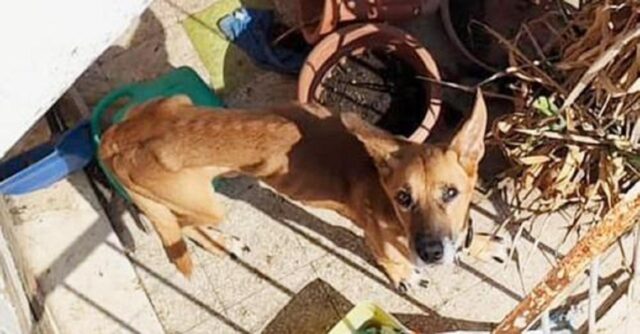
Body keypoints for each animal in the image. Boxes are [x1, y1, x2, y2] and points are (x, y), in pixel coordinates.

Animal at [99, 90, 504, 290]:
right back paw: (223, 242)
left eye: (450, 193)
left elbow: (466, 237)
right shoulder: (377, 239)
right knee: (183, 227)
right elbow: (390, 260)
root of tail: (114, 136)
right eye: (403, 198)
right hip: (203, 204)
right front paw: (403, 275)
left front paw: (481, 245)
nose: (432, 253)